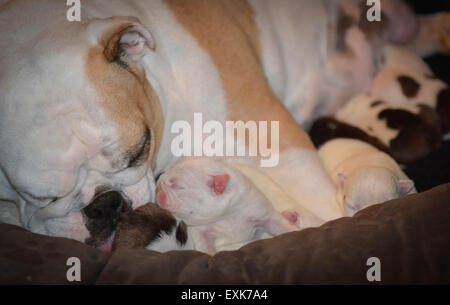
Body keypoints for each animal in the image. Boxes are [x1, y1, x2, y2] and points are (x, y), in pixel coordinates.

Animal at [155, 157, 298, 254]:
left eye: (176, 185)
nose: (157, 187)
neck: (228, 215)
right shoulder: (199, 229)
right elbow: (203, 241)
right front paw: (211, 255)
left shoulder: (258, 209)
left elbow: (278, 223)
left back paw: (291, 215)